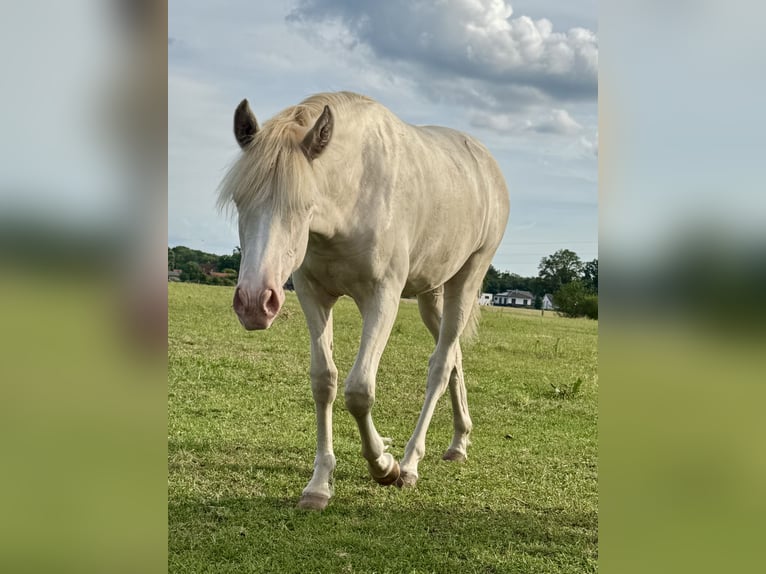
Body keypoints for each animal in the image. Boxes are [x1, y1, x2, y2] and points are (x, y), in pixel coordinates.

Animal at [218, 91, 509, 510]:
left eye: (304, 204)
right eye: (240, 201)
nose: (254, 303)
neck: (354, 194)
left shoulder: (382, 297)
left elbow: (359, 391)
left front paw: (384, 465)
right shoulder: (313, 294)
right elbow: (324, 381)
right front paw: (319, 485)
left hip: (467, 280)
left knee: (439, 366)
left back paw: (410, 463)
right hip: (432, 294)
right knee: (453, 356)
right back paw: (458, 443)